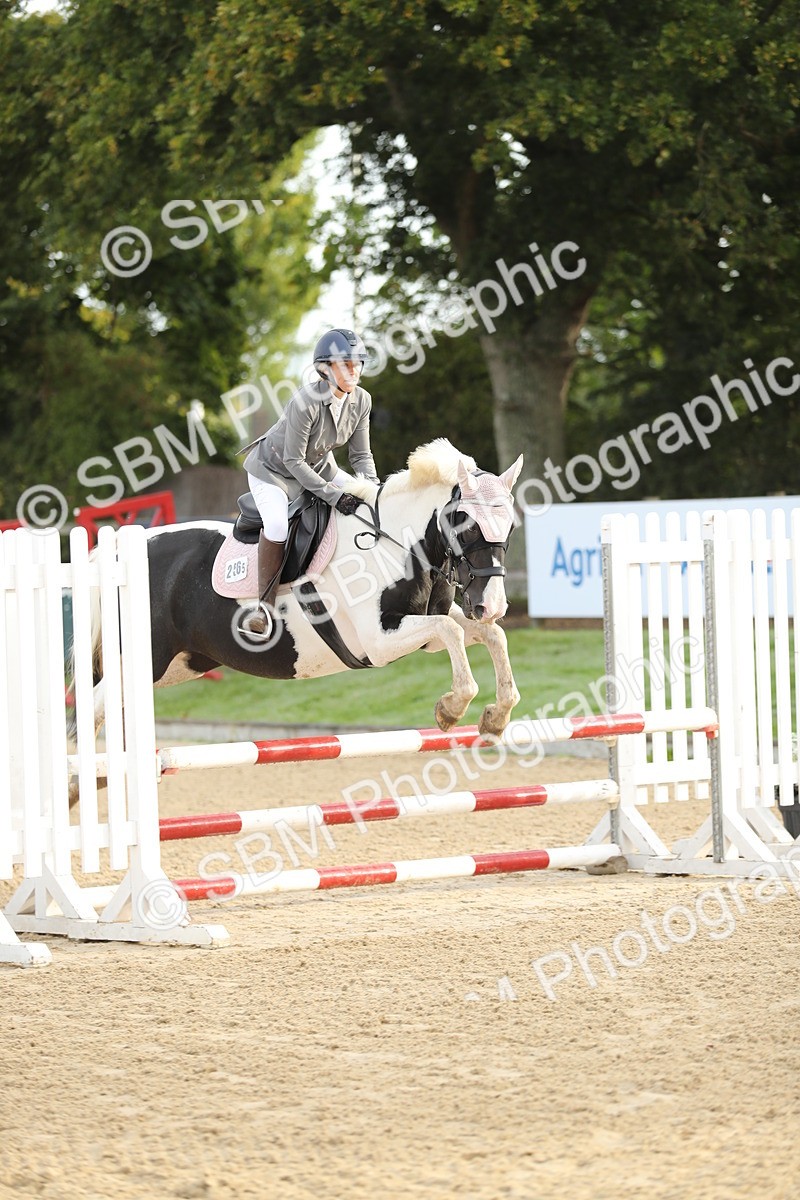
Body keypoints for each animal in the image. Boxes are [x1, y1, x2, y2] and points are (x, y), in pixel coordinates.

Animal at [72, 440, 523, 801]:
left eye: (510, 527)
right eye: (466, 526)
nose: (492, 604)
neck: (396, 544)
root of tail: (118, 553)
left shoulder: (423, 626)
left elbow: (489, 636)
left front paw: (495, 718)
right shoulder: (378, 641)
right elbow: (453, 631)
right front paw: (451, 709)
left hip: (177, 665)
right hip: (141, 661)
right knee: (90, 710)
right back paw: (77, 787)